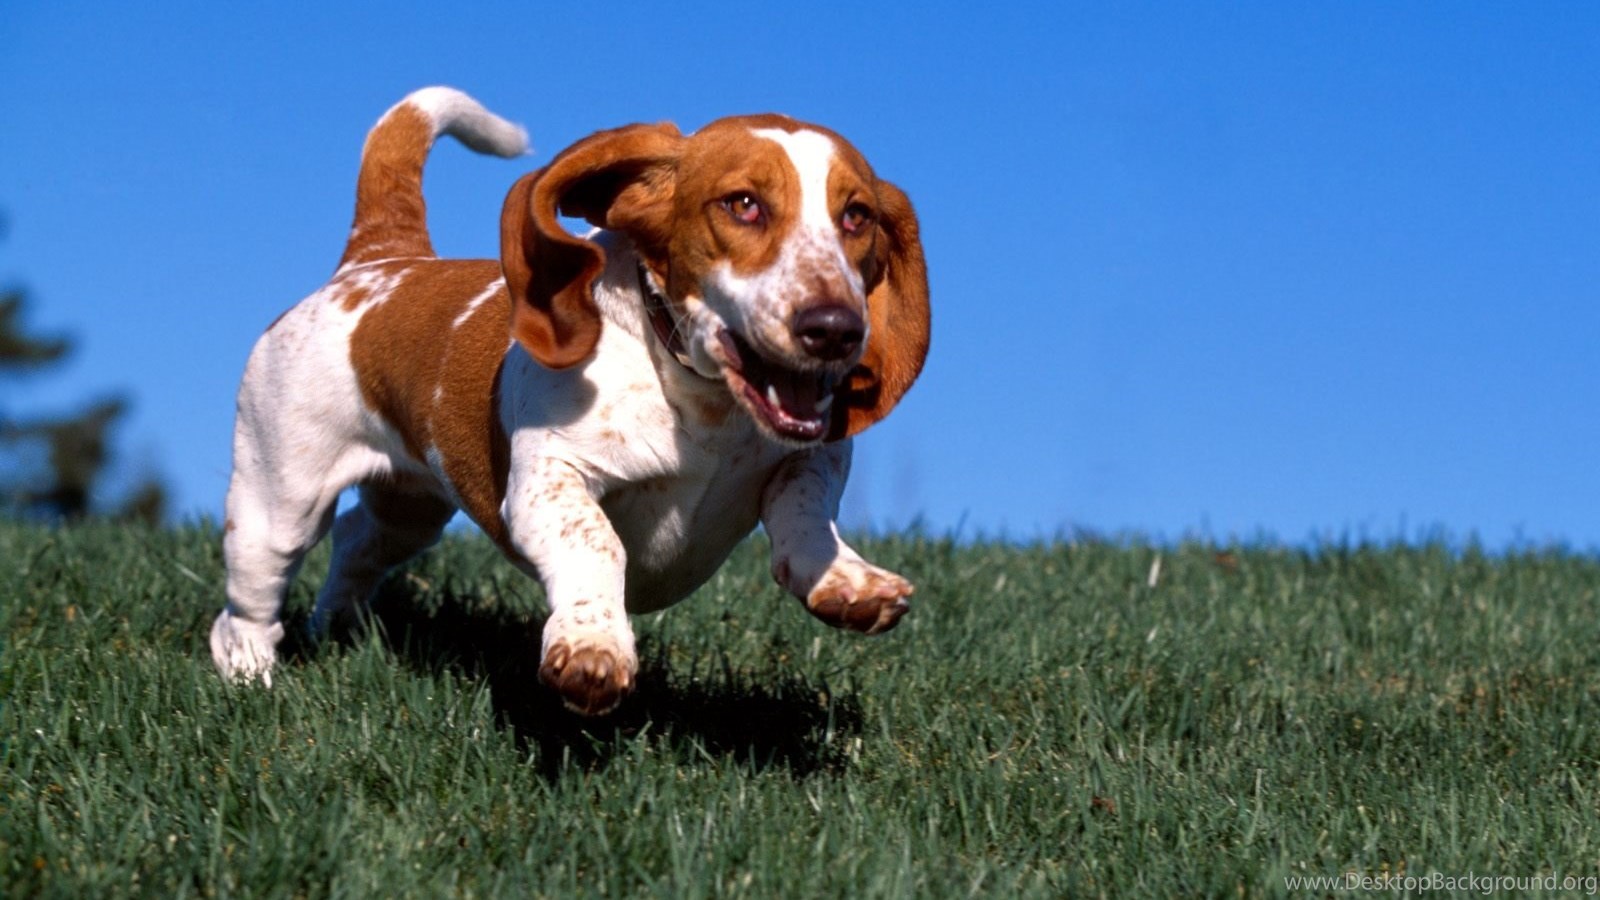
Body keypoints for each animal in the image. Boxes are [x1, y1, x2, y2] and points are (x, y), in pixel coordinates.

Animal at [209, 87, 930, 714]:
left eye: (857, 216)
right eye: (744, 204)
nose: (836, 329)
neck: (700, 402)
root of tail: (379, 262)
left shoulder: (816, 456)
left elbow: (804, 511)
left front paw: (848, 583)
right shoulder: (551, 481)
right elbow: (597, 543)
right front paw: (592, 645)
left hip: (409, 508)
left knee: (358, 539)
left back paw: (336, 628)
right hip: (279, 503)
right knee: (247, 606)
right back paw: (252, 678)